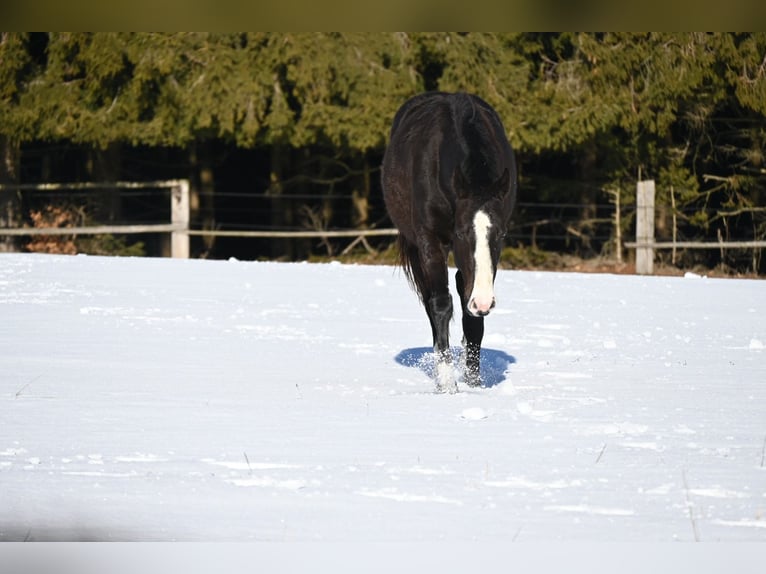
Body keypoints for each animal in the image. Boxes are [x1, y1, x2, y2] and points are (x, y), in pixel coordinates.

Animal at [381, 92, 517, 393]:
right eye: (462, 232)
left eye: (501, 234)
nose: (485, 302)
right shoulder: (430, 242)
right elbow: (441, 304)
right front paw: (447, 385)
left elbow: (471, 313)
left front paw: (474, 382)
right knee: (432, 301)